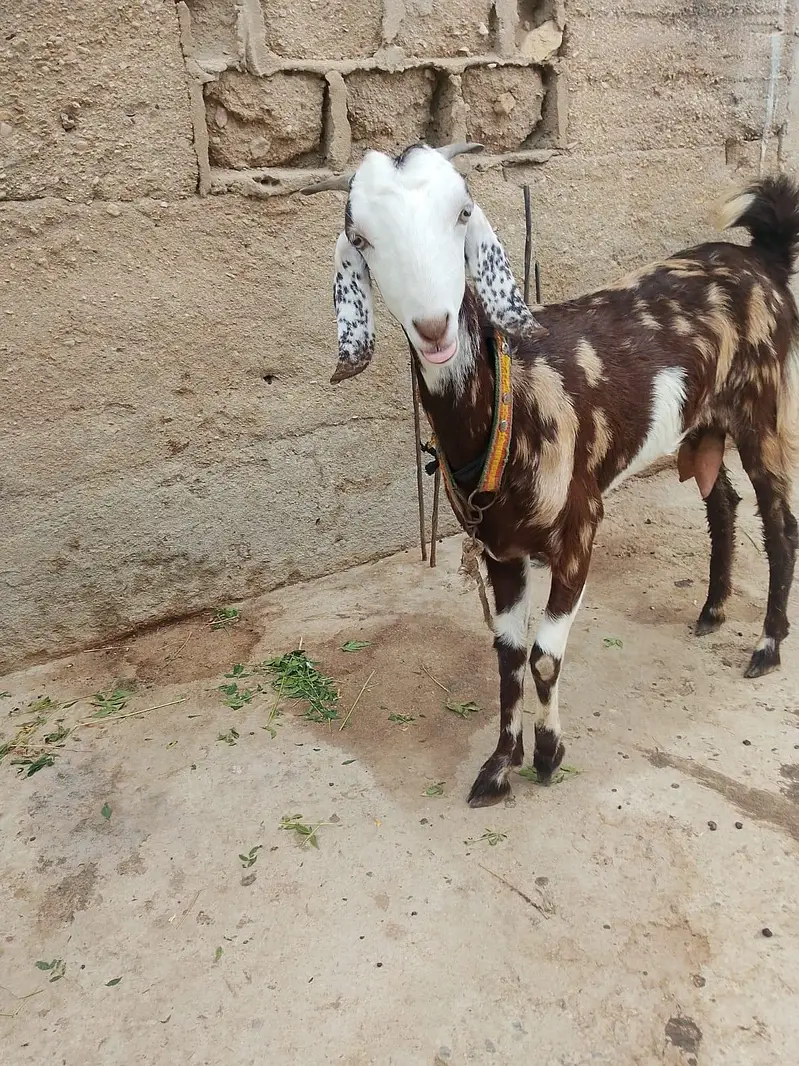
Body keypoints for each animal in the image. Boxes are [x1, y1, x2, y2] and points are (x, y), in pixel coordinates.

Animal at [303, 143, 799, 807]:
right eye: (361, 237)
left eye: (463, 213)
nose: (435, 328)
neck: (515, 403)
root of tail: (761, 258)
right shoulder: (499, 552)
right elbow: (508, 655)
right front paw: (498, 764)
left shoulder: (580, 531)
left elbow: (542, 656)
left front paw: (547, 754)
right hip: (700, 426)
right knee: (722, 502)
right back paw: (712, 611)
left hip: (762, 411)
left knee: (780, 522)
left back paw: (767, 646)